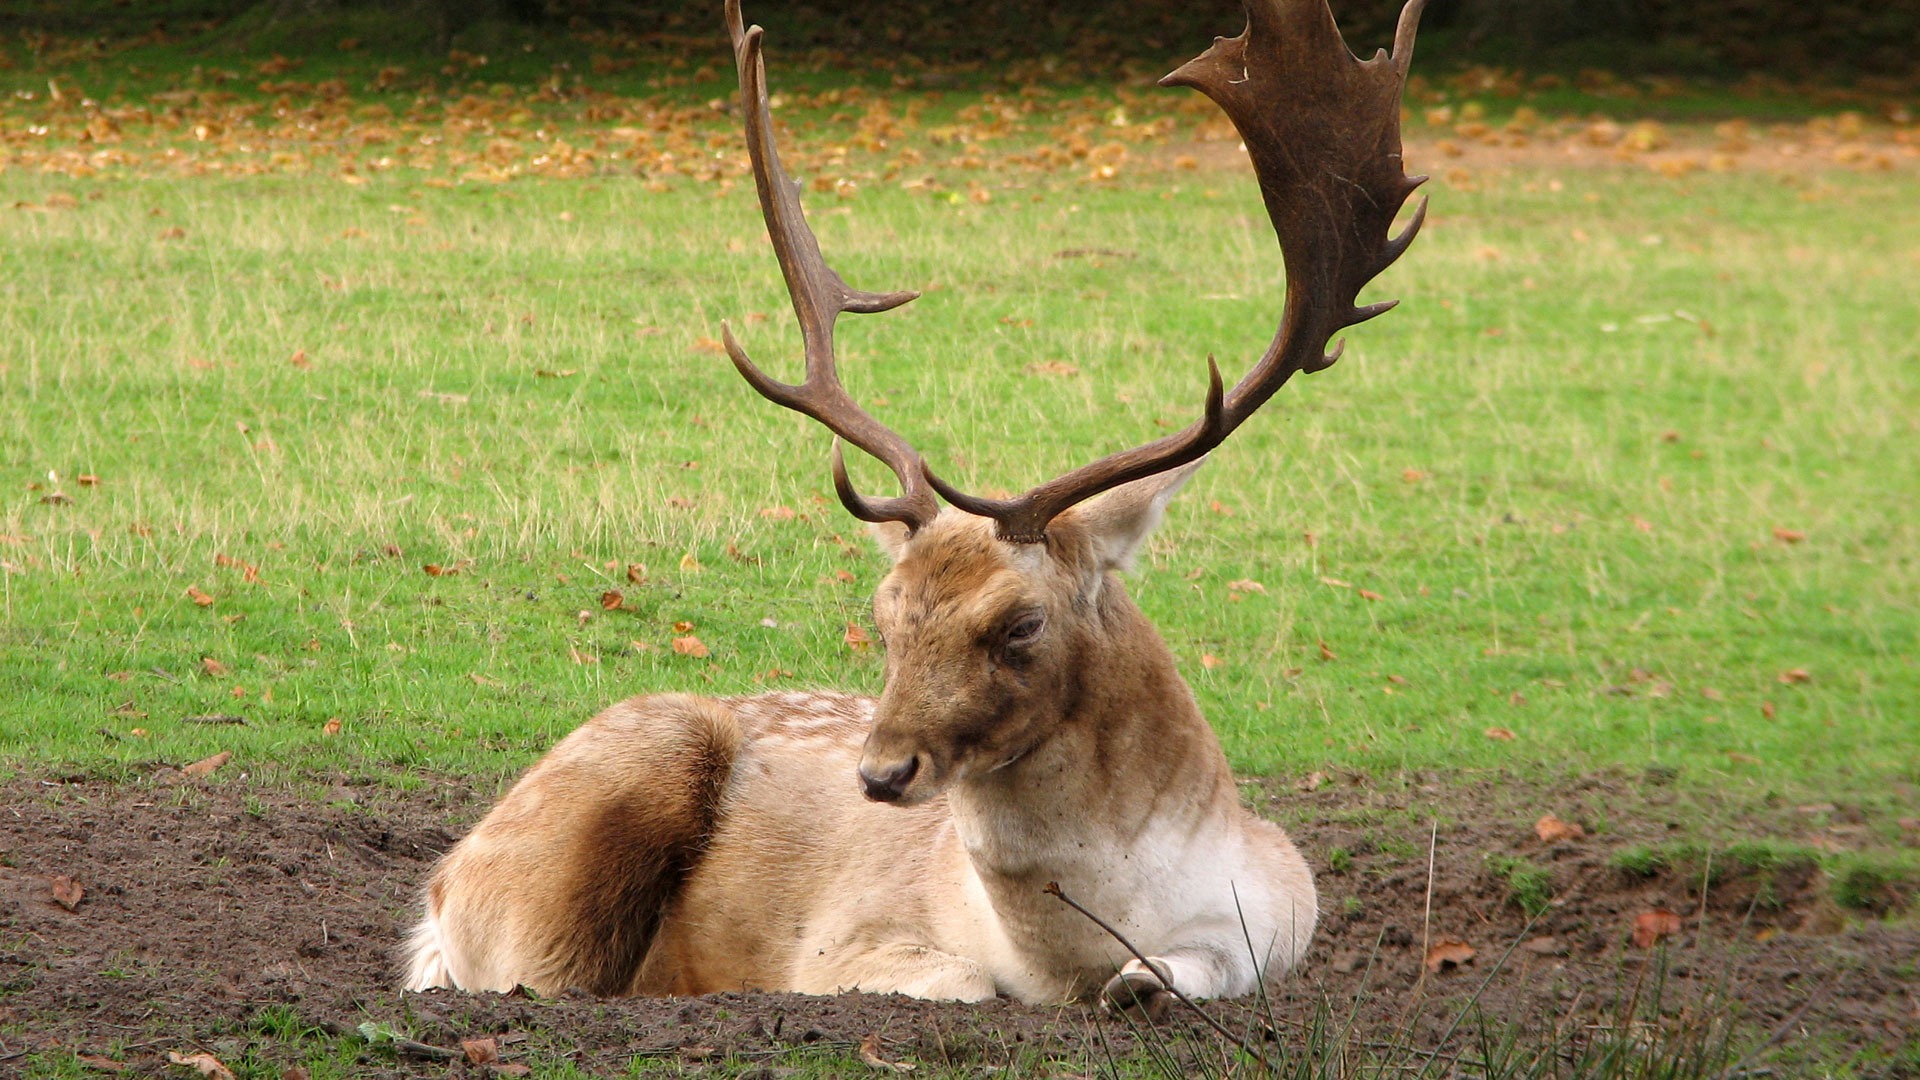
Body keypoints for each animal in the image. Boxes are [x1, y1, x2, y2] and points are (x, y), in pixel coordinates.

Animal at [405, 0, 1428, 1014]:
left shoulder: (1283, 908)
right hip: (575, 848)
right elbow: (967, 984)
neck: (1071, 956)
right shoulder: (840, 942)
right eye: (885, 615)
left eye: (1021, 623)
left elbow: (1180, 976)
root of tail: (439, 891)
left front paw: (1142, 981)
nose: (880, 770)